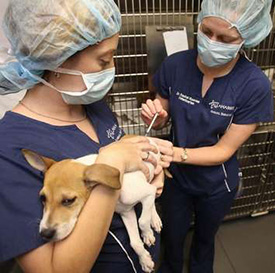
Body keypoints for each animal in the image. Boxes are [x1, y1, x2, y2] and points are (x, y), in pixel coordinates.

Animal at [23, 140, 164, 272]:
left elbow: (142, 221)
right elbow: (135, 242)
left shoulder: (145, 192)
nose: (45, 234)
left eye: (69, 200)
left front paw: (147, 234)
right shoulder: (126, 212)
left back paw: (154, 221)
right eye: (43, 198)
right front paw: (145, 260)